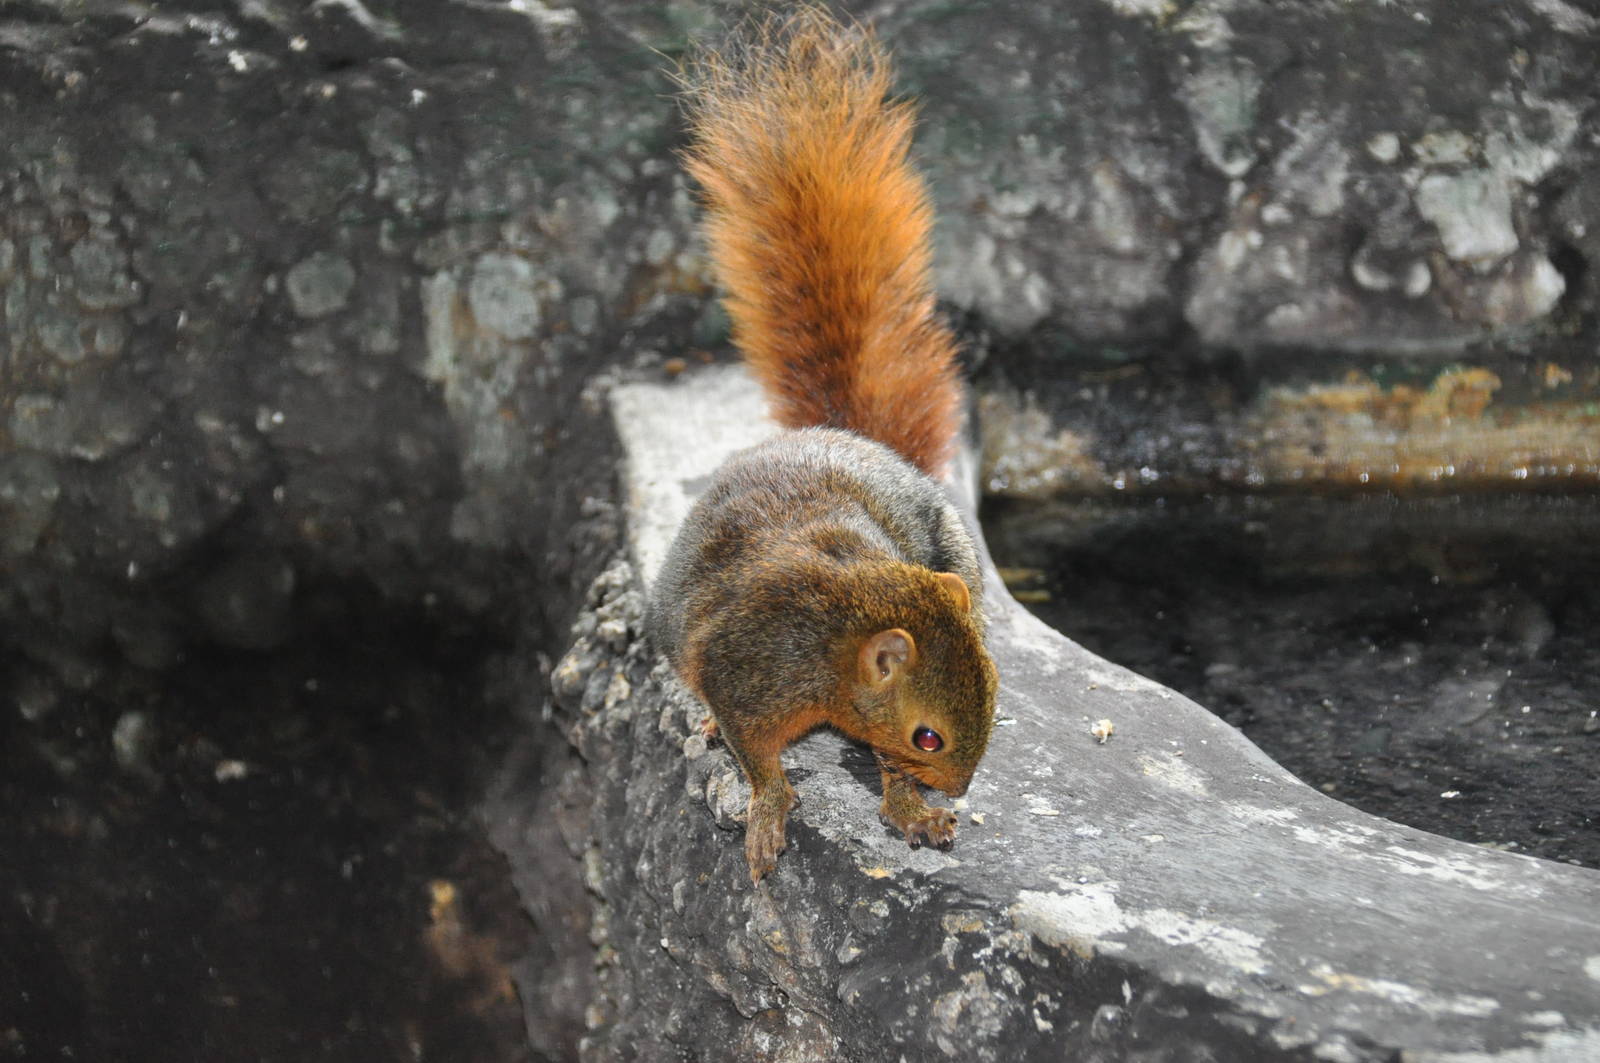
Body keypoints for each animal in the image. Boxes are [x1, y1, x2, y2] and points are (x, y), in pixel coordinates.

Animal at [648, 7, 998, 884]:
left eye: (994, 686)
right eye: (929, 734)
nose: (959, 786)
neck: (840, 635)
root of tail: (843, 434)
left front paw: (910, 805)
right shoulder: (748, 665)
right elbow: (755, 750)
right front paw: (769, 804)